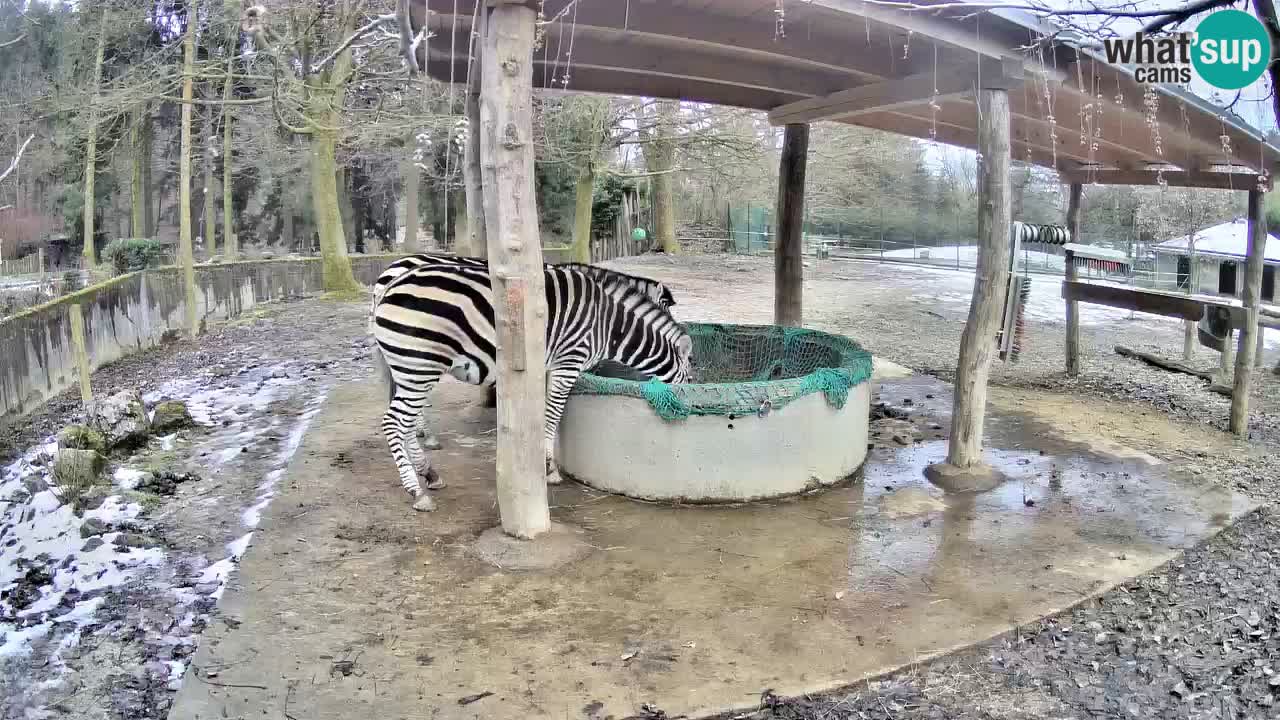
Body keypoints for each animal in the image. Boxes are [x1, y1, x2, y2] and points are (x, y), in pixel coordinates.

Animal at [371, 260, 691, 507]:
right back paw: (416, 491)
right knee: (393, 422)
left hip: (408, 368)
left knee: (406, 423)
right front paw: (550, 468)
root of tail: (390, 285)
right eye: (689, 380)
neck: (608, 323)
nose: (686, 409)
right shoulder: (568, 362)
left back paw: (430, 473)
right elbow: (553, 415)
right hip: (420, 365)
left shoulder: (549, 366)